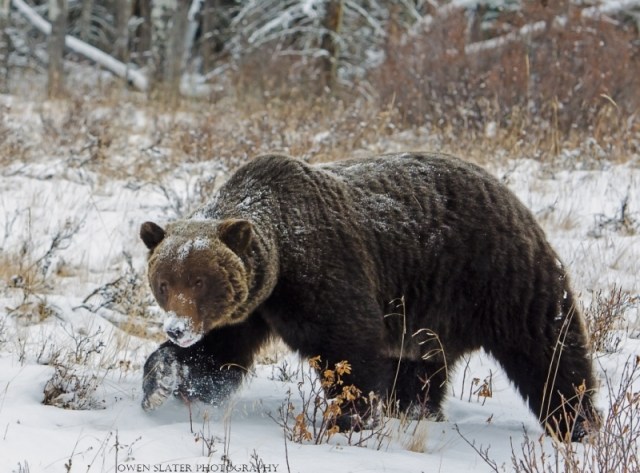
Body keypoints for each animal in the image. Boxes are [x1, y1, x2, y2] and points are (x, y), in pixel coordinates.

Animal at [140, 152, 599, 441]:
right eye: (164, 283)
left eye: (200, 281)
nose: (177, 329)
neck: (282, 262)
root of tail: (510, 195)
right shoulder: (249, 310)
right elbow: (216, 359)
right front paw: (161, 380)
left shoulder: (323, 277)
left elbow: (348, 350)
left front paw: (347, 420)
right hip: (426, 318)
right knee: (419, 372)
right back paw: (416, 412)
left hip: (497, 277)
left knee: (548, 352)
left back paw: (575, 424)